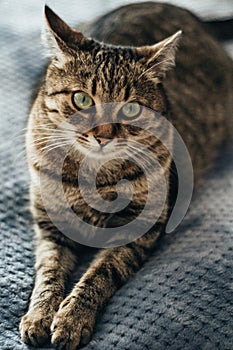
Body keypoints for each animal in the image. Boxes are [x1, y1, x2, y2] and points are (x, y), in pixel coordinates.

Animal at [19, 2, 233, 350]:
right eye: (81, 99)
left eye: (131, 109)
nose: (103, 136)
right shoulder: (50, 227)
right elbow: (48, 272)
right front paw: (39, 315)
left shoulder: (136, 229)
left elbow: (100, 274)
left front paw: (72, 319)